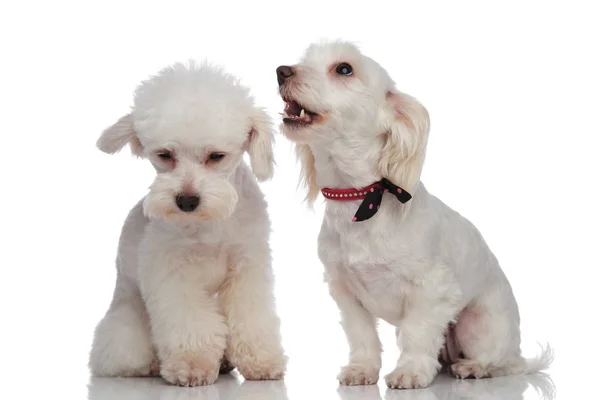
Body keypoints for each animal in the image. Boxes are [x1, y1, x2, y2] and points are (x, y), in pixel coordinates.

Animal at [88, 61, 288, 386]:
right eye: (164, 155)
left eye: (216, 156)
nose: (187, 200)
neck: (210, 224)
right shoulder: (172, 272)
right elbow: (189, 323)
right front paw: (191, 364)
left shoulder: (247, 267)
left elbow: (251, 317)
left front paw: (261, 361)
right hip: (126, 320)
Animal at [276, 42, 552, 390]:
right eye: (302, 60)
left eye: (344, 69)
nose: (281, 71)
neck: (362, 199)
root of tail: (517, 352)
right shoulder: (346, 291)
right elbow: (362, 335)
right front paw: (362, 369)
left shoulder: (432, 290)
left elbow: (417, 333)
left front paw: (410, 371)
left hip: (479, 325)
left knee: (499, 363)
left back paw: (473, 367)